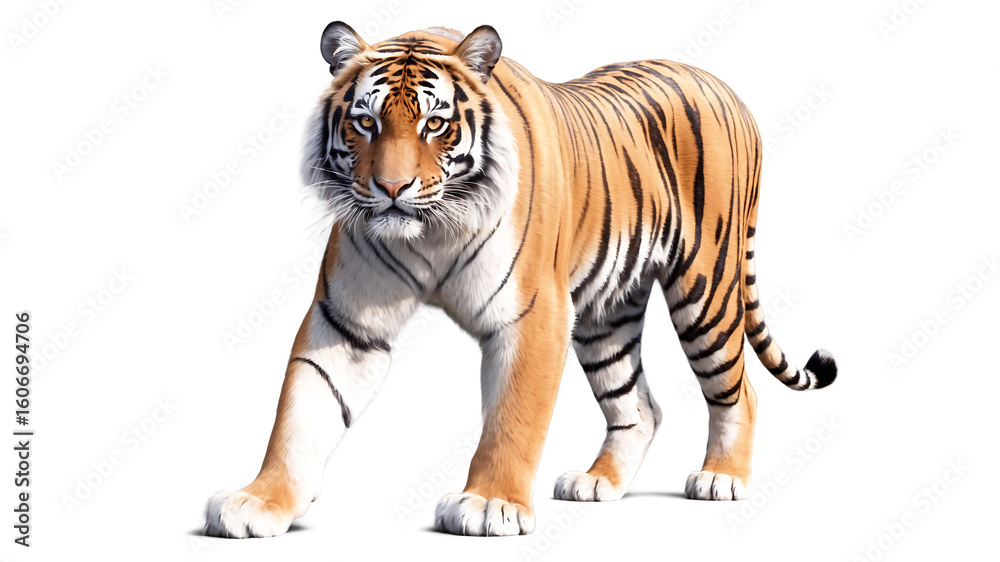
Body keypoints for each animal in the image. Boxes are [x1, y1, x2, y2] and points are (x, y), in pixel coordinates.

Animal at [204, 22, 837, 538]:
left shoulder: (534, 313)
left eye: (435, 124)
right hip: (607, 315)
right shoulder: (346, 320)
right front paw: (258, 501)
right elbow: (301, 411)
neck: (430, 233)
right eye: (365, 121)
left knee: (739, 390)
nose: (391, 189)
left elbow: (513, 419)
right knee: (639, 405)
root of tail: (723, 86)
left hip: (706, 290)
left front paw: (490, 505)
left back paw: (720, 479)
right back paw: (597, 482)